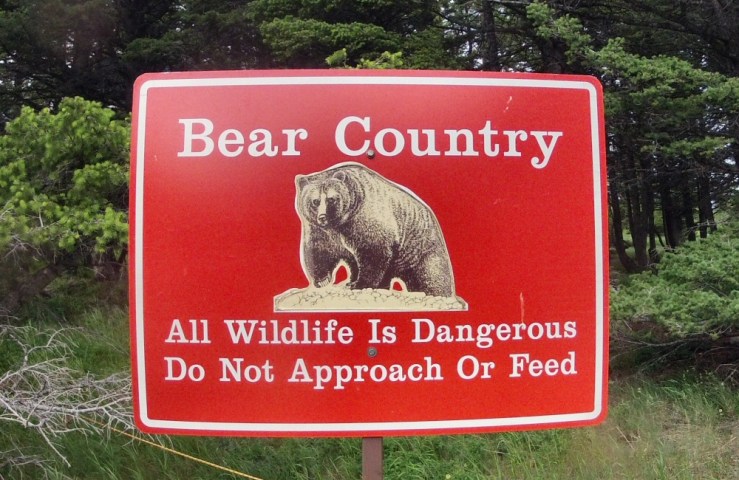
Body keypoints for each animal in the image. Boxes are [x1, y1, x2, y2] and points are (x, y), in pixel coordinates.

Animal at [294, 162, 456, 297]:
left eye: (331, 199)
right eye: (315, 201)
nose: (322, 217)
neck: (340, 223)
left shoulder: (366, 221)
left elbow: (373, 251)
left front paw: (359, 284)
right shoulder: (320, 231)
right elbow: (320, 250)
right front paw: (322, 280)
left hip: (420, 250)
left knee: (432, 277)